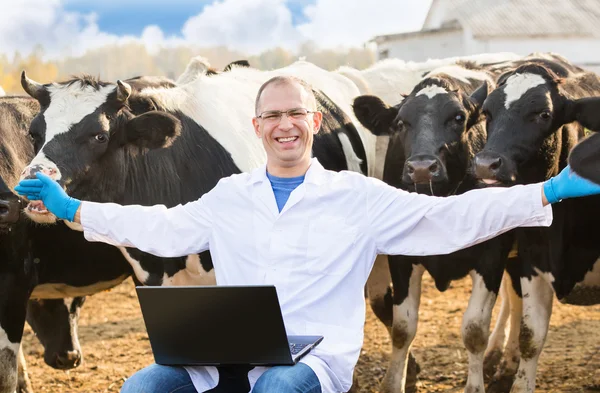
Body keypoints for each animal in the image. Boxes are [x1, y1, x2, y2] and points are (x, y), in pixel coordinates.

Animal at [352, 64, 516, 392]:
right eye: (400, 123)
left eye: (458, 118)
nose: (422, 168)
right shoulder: (400, 257)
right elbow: (402, 327)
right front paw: (394, 383)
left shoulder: (492, 254)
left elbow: (474, 330)